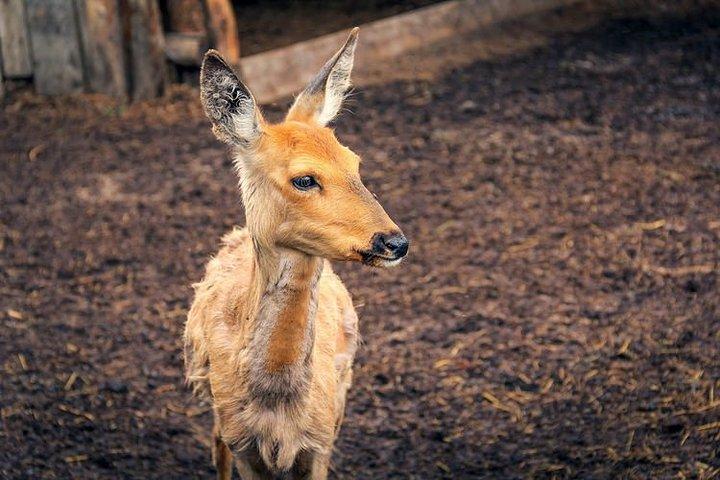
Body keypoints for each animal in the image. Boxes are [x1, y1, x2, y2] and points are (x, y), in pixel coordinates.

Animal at [184, 28, 409, 479]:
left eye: (355, 164)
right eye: (304, 178)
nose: (394, 242)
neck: (277, 408)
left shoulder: (321, 440)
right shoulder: (242, 444)